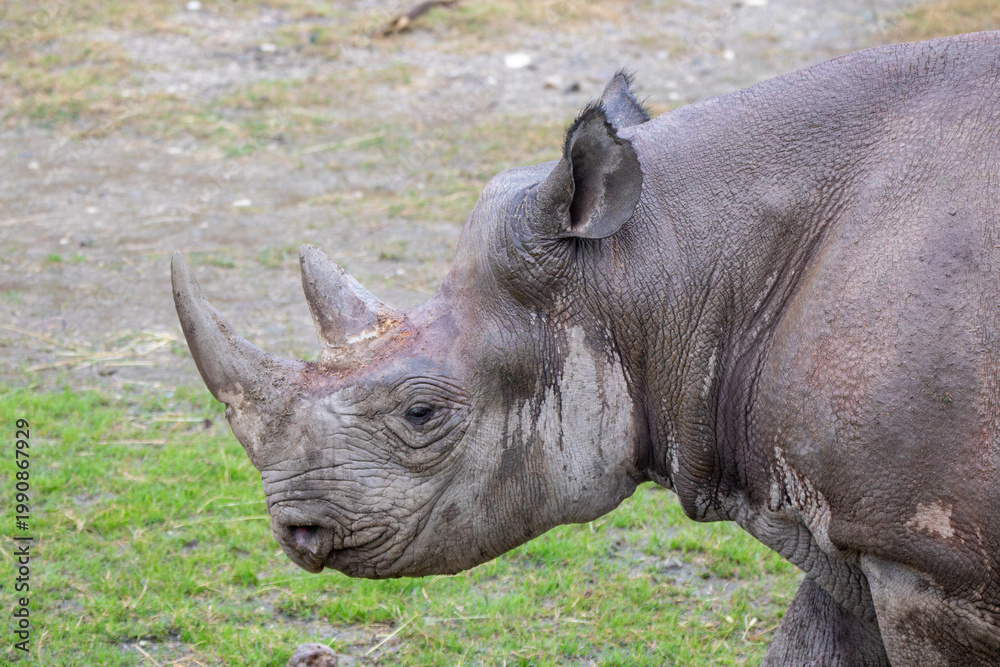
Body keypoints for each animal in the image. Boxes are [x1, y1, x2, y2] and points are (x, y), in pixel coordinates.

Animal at [172, 32, 1000, 665]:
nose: (293, 531)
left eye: (420, 413)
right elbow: (807, 646)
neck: (660, 259)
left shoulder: (929, 564)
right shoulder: (865, 538)